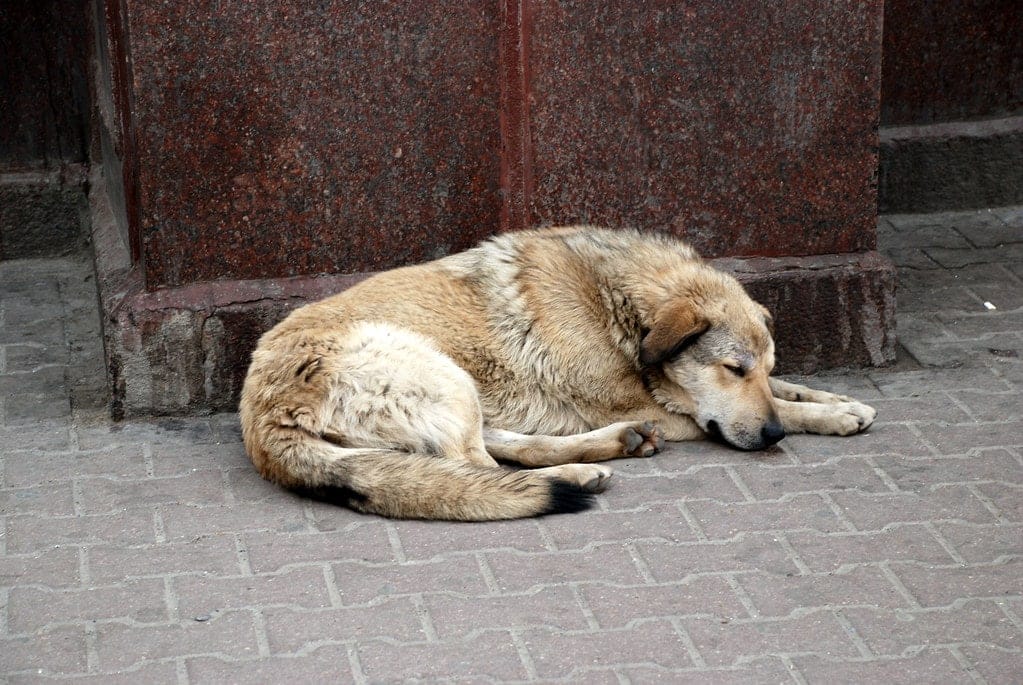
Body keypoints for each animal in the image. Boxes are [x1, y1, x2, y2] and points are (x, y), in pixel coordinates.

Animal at [237, 227, 871, 523]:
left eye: (759, 367)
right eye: (731, 369)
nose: (772, 439)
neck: (614, 299)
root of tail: (261, 417)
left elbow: (786, 392)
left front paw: (839, 403)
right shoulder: (653, 403)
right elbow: (734, 408)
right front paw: (821, 415)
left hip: (455, 391)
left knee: (501, 451)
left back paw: (605, 452)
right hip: (438, 372)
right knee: (480, 471)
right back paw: (580, 471)